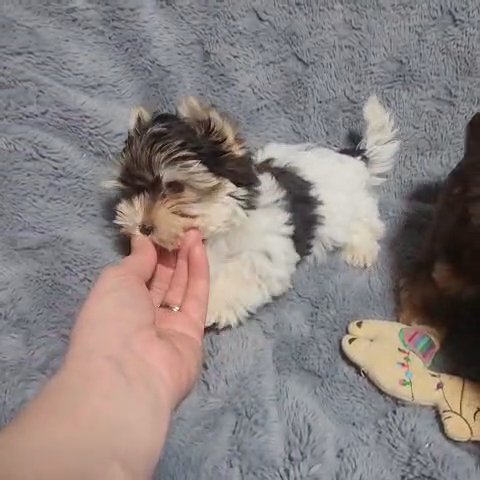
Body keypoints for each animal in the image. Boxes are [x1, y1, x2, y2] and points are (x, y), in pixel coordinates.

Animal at [107, 97, 400, 330]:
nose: (143, 227)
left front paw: (212, 304)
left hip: (354, 204)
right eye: (132, 190)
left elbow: (242, 273)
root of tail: (352, 157)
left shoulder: (267, 252)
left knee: (367, 222)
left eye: (175, 187)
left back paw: (361, 250)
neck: (222, 220)